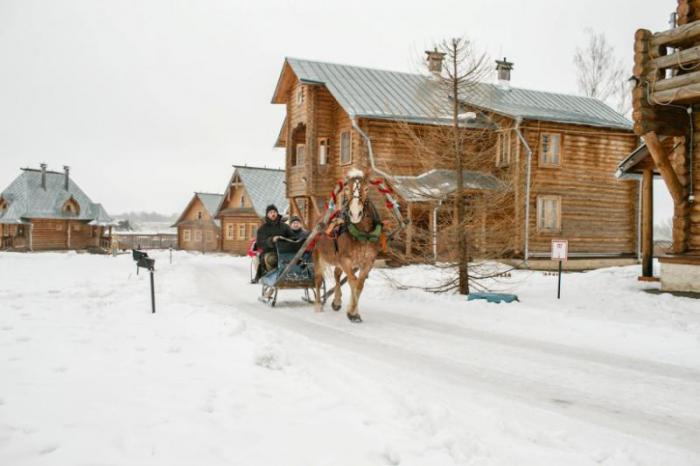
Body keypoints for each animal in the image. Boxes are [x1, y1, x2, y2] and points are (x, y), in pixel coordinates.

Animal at [312, 168, 381, 323]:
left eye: (366, 188)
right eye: (347, 189)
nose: (355, 213)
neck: (363, 234)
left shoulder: (368, 262)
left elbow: (359, 285)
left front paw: (353, 310)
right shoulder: (345, 260)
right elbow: (353, 282)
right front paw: (352, 313)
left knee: (337, 275)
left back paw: (336, 301)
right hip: (318, 257)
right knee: (318, 280)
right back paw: (318, 305)